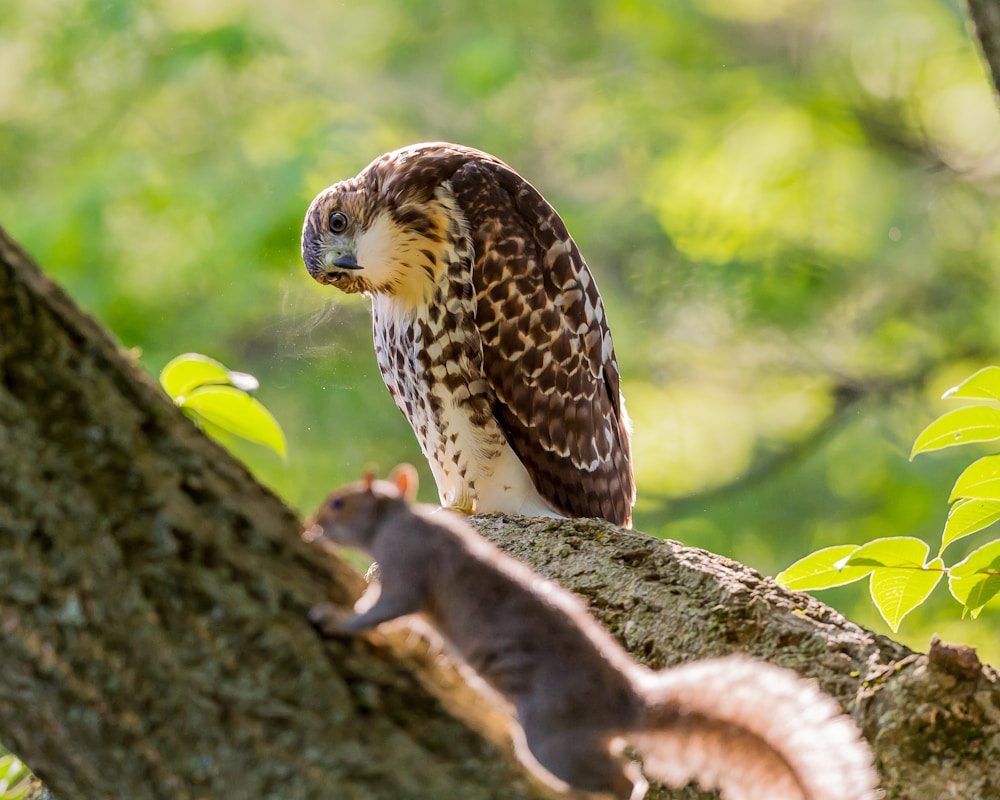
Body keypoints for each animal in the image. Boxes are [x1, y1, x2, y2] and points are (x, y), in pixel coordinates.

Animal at [304, 466, 878, 800]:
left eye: (339, 502)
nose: (312, 527)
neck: (401, 522)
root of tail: (627, 702)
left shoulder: (410, 568)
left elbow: (386, 609)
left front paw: (334, 620)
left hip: (550, 734)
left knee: (627, 781)